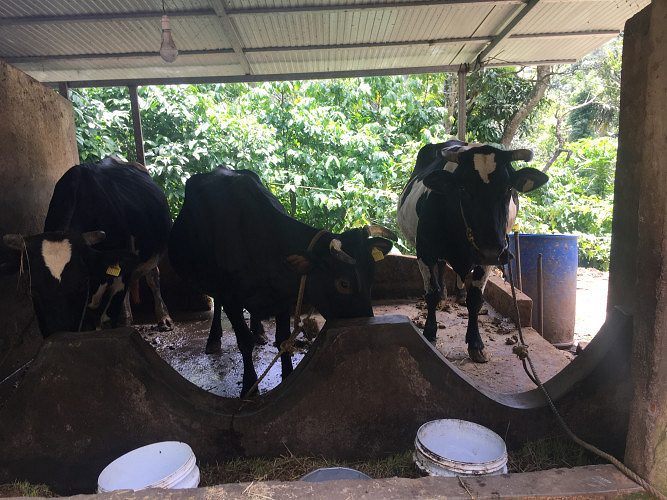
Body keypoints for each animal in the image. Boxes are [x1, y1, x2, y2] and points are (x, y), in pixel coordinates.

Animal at [2, 157, 172, 336]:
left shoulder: (120, 276)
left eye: (82, 284)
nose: (60, 334)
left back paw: (162, 318)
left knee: (153, 277)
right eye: (33, 290)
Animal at [168, 166, 395, 396]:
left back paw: (259, 331)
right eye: (344, 283)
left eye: (371, 277)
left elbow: (283, 338)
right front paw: (249, 385)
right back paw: (214, 338)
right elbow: (243, 341)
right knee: (217, 303)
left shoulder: (283, 298)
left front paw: (287, 375)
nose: (368, 328)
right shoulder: (231, 297)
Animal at [397, 140, 548, 363]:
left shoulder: (486, 259)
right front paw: (430, 333)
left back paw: (457, 294)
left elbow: (475, 300)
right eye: (463, 188)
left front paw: (476, 343)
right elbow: (431, 294)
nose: (491, 249)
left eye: (508, 188)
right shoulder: (425, 252)